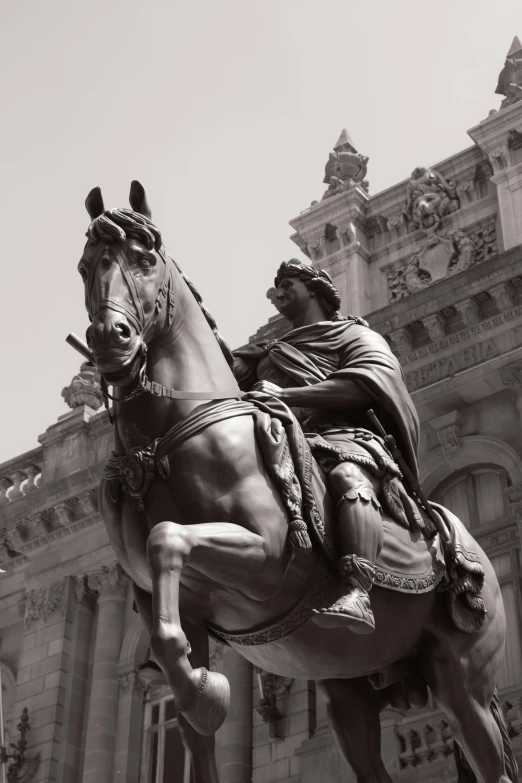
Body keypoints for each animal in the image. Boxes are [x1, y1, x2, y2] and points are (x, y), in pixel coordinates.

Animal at [77, 182, 516, 783]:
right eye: (85, 265)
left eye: (144, 259)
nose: (109, 340)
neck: (163, 437)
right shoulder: (160, 600)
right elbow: (178, 679)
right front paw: (200, 693)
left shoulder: (266, 558)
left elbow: (166, 537)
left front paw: (207, 692)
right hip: (351, 687)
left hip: (464, 680)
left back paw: (352, 601)